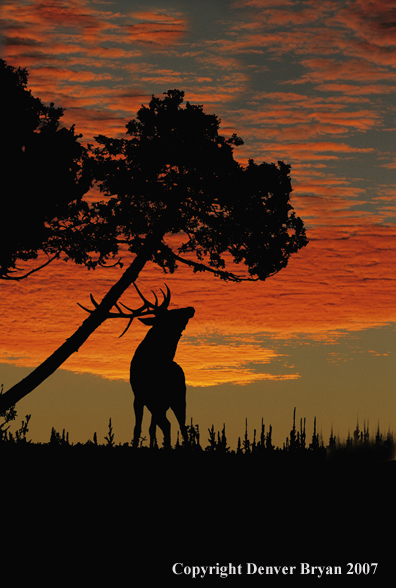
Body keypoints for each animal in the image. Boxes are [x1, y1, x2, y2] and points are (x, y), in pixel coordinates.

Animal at [77, 282, 195, 448]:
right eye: (171, 314)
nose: (191, 308)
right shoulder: (139, 398)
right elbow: (138, 428)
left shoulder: (156, 400)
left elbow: (152, 428)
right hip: (161, 404)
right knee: (165, 425)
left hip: (178, 398)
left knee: (180, 426)